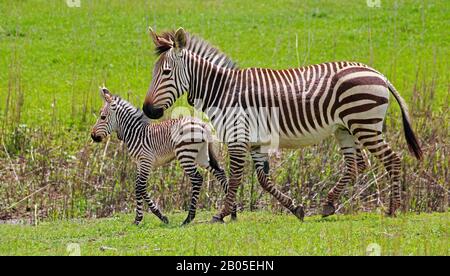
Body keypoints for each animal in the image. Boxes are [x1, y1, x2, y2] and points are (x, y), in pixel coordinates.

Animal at [90, 87, 236, 225]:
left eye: (102, 117)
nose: (92, 136)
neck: (136, 133)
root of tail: (202, 124)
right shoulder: (140, 163)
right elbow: (139, 188)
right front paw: (149, 217)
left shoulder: (146, 161)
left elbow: (140, 187)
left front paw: (148, 217)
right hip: (202, 155)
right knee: (220, 173)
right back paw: (233, 212)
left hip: (185, 154)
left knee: (197, 179)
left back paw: (189, 218)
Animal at [142, 27, 424, 222]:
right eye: (153, 72)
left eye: (166, 73)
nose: (147, 110)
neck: (224, 90)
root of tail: (378, 73)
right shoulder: (255, 141)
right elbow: (263, 180)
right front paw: (295, 208)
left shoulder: (237, 136)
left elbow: (236, 177)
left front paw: (221, 214)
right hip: (346, 129)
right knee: (356, 165)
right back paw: (329, 205)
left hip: (365, 124)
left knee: (392, 159)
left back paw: (392, 209)